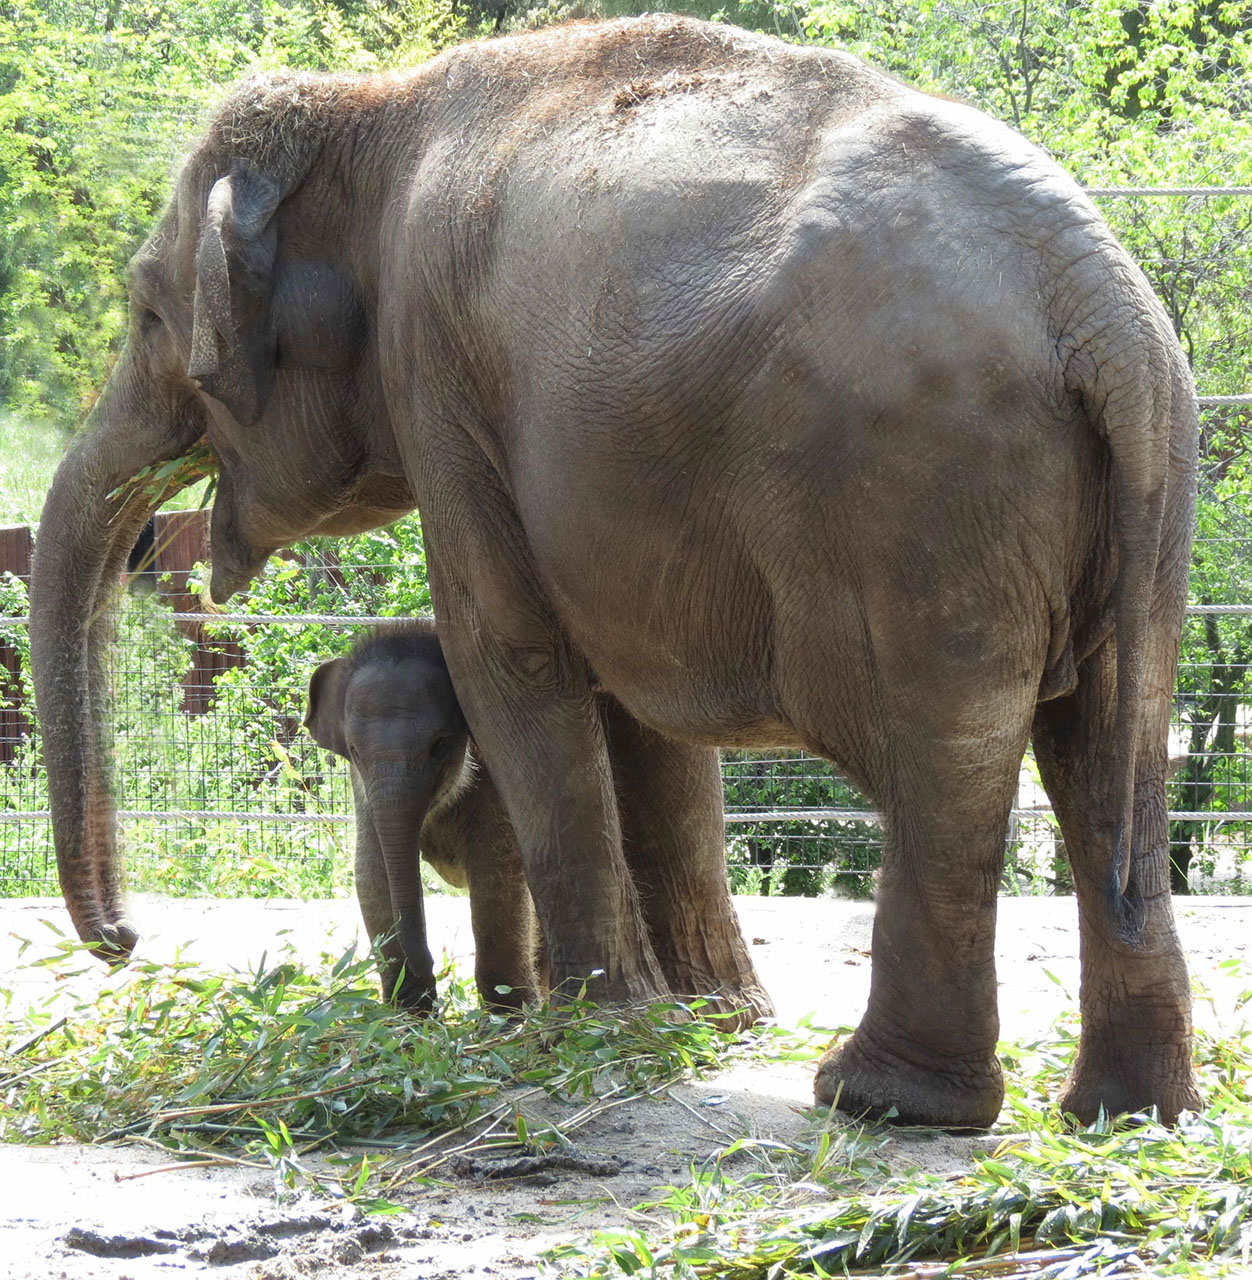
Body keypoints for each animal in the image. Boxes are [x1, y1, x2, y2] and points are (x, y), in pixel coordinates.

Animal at [304, 624, 545, 1013]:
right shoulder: (363, 789)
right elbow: (372, 870)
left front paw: (509, 1015)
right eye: (353, 750)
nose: (435, 964)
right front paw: (410, 1012)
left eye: (440, 744)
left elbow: (498, 869)